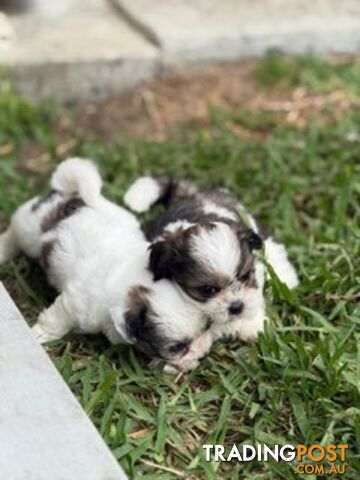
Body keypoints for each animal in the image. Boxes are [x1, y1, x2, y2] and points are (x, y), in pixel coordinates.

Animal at [0, 159, 211, 374]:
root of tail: (81, 198)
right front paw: (38, 336)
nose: (203, 353)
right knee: (14, 236)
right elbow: (55, 322)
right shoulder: (73, 305)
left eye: (207, 326)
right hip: (29, 230)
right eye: (177, 347)